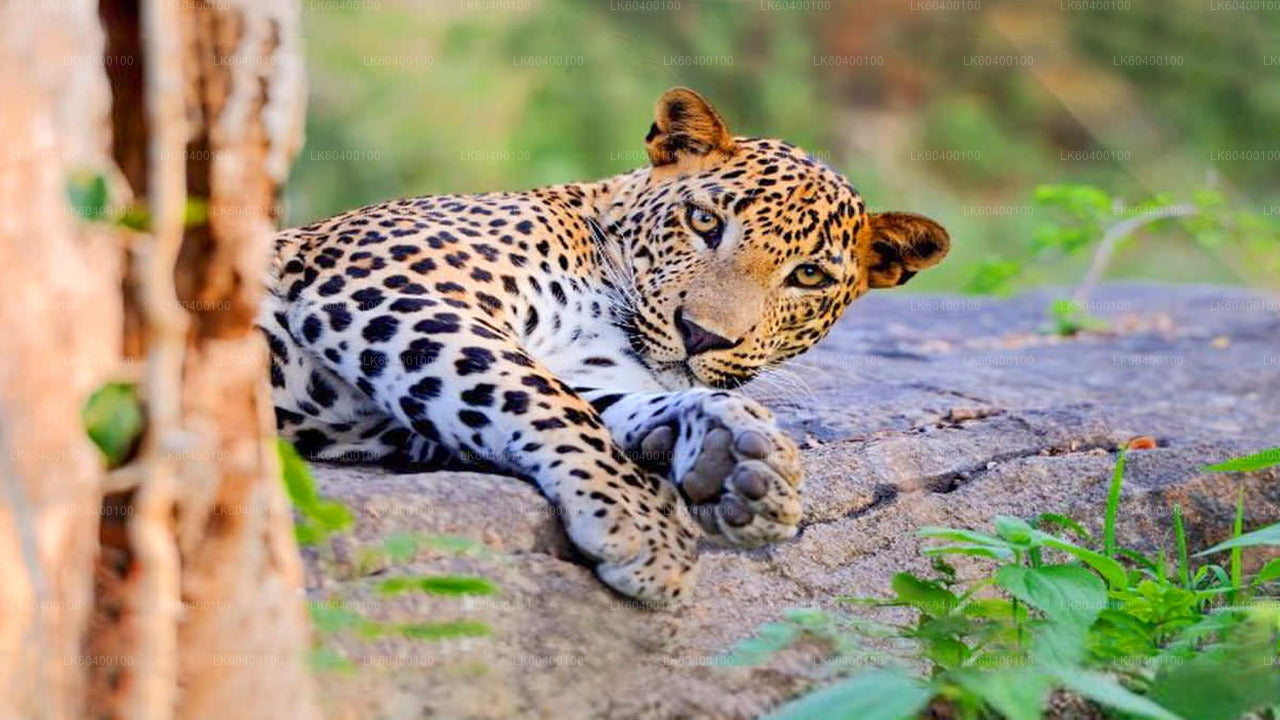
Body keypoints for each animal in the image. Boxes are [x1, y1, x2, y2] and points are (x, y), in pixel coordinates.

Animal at [262, 85, 952, 599]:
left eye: (809, 276)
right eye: (704, 221)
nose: (701, 334)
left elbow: (586, 400)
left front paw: (733, 457)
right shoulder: (390, 284)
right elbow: (543, 396)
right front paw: (642, 524)